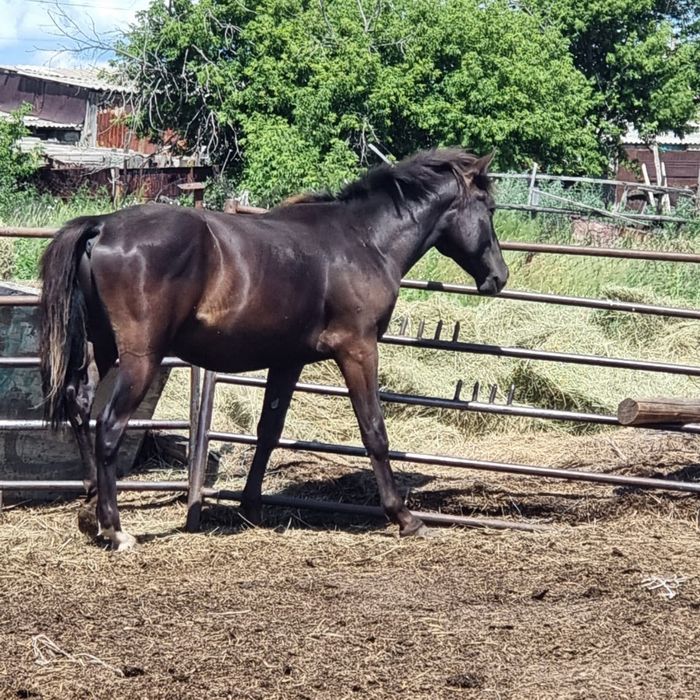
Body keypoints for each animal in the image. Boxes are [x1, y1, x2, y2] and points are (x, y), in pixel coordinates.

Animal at [38, 148, 508, 551]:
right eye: (489, 209)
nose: (498, 276)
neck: (364, 241)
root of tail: (103, 226)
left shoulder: (289, 361)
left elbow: (269, 430)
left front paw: (251, 506)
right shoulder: (358, 349)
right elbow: (374, 430)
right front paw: (404, 517)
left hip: (104, 352)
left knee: (81, 408)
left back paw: (90, 511)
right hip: (140, 360)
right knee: (109, 426)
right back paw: (115, 530)